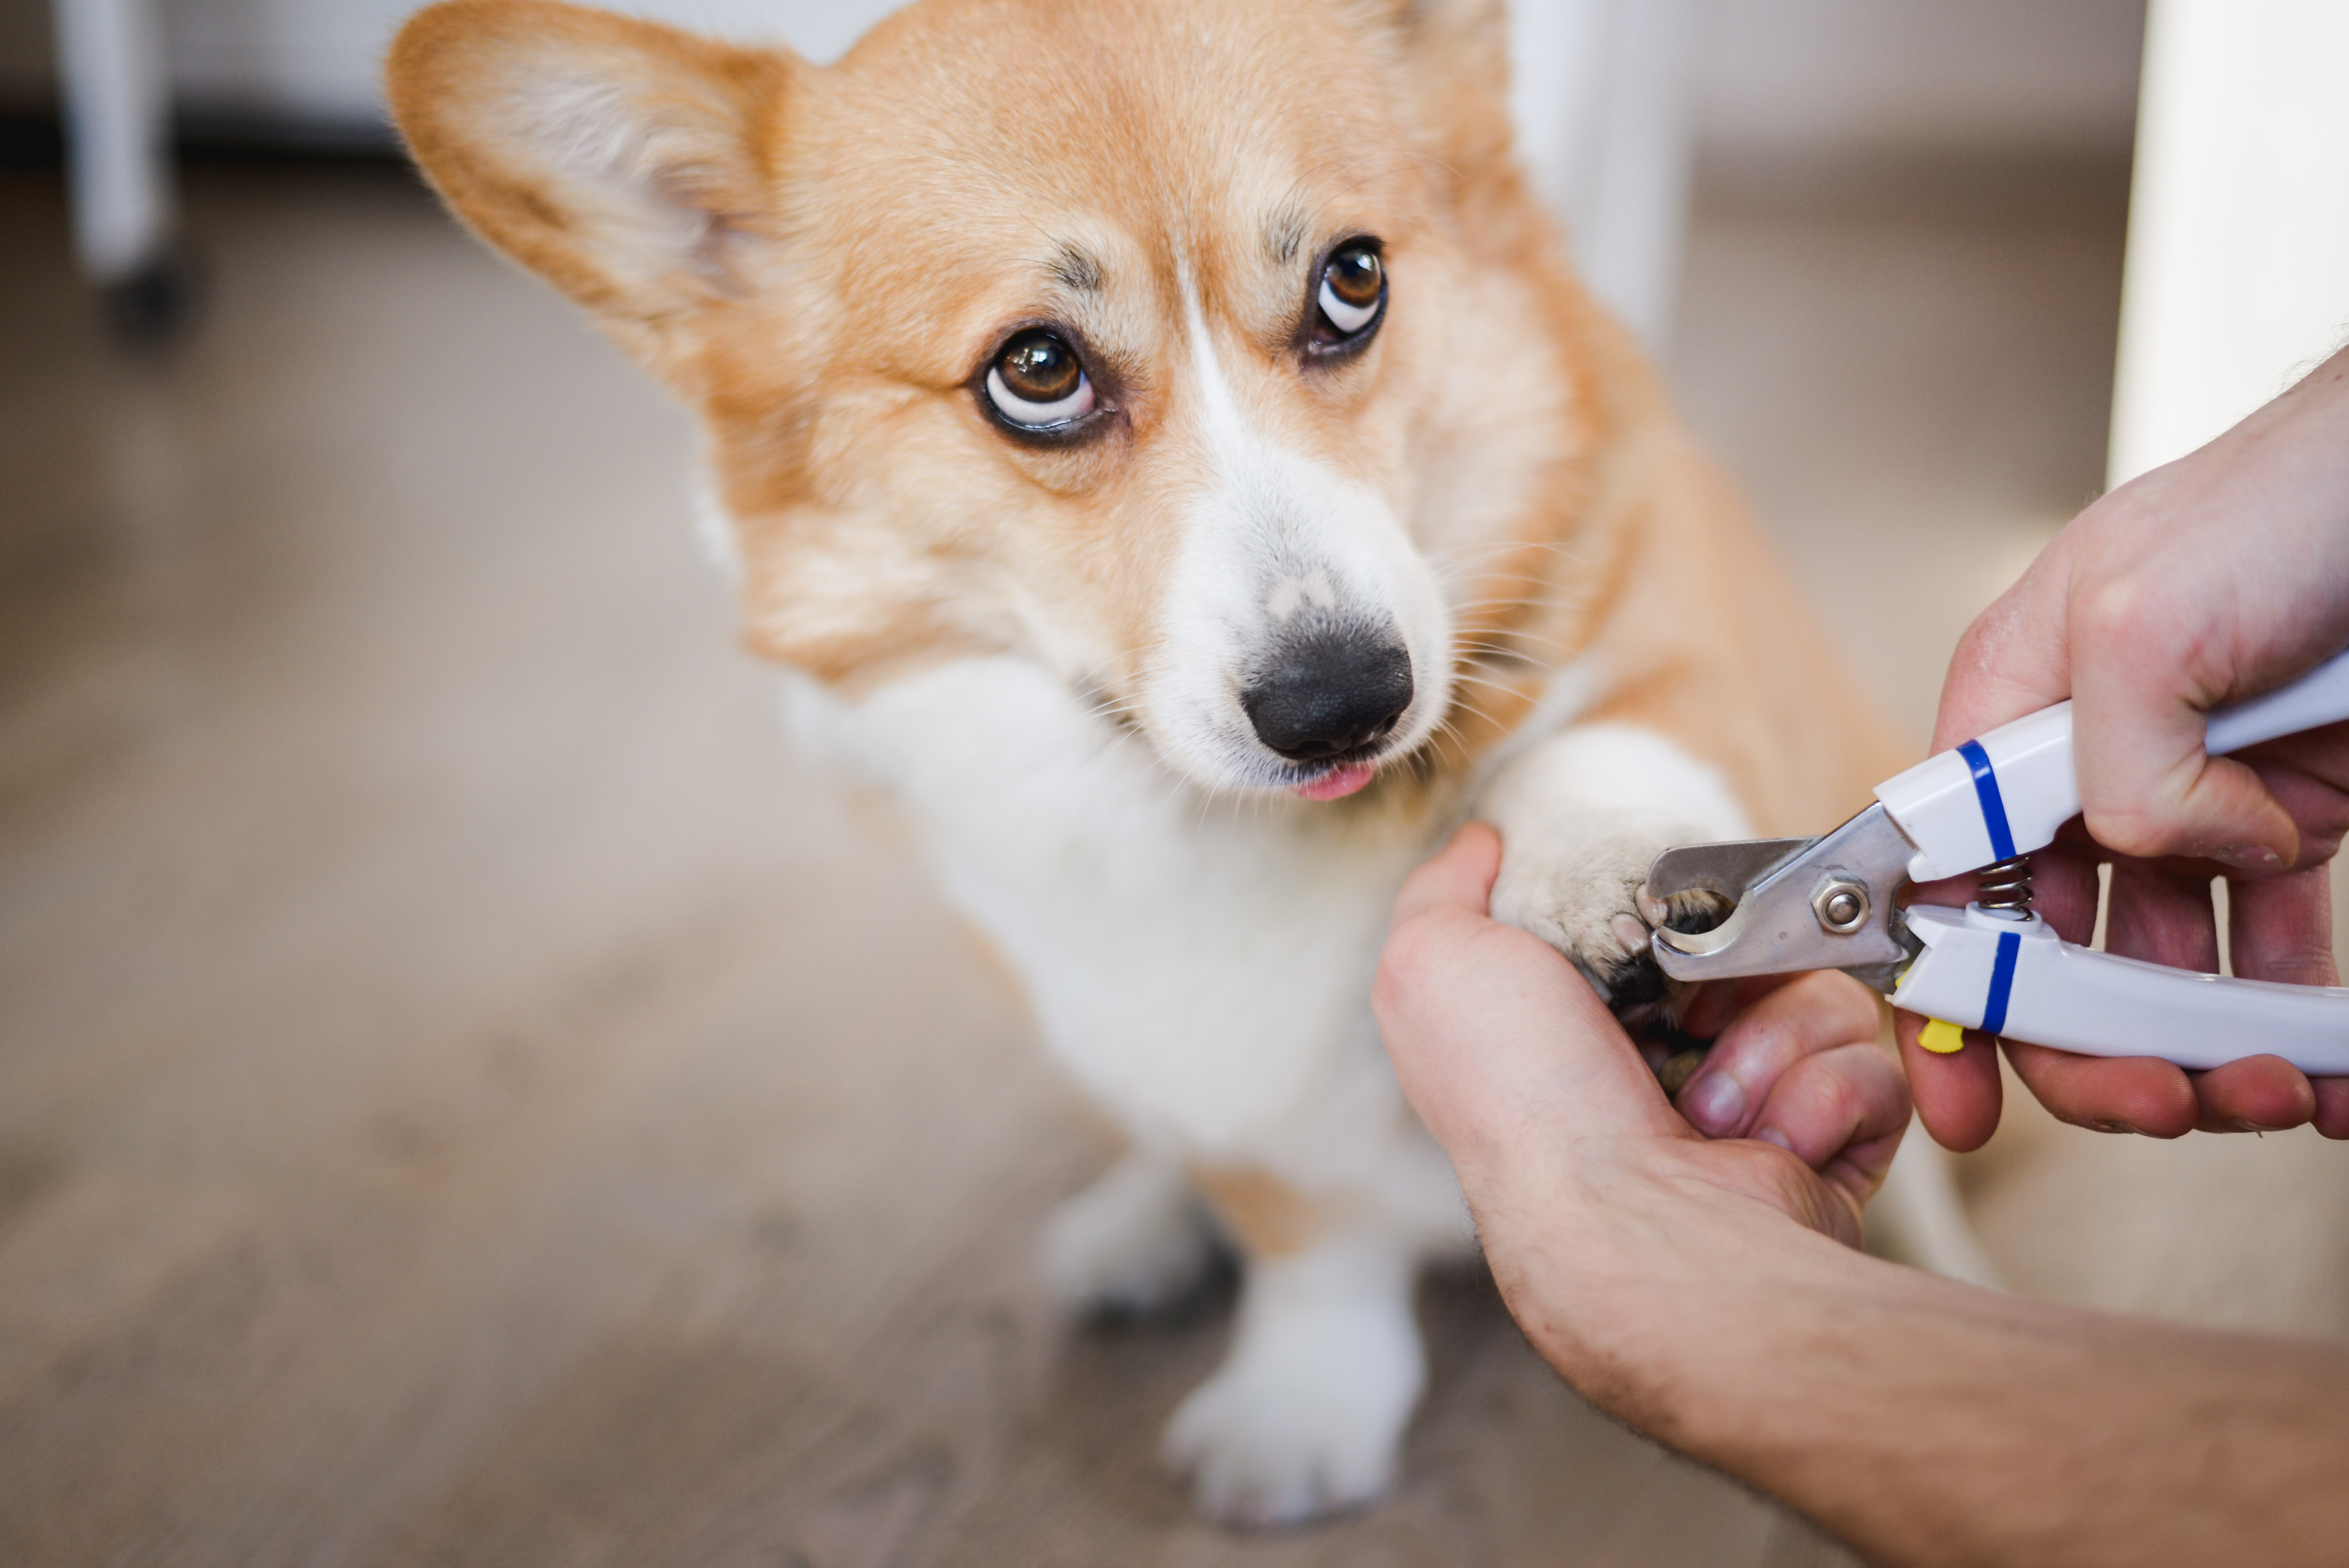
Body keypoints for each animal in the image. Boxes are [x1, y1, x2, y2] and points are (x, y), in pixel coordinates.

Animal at [394, 0, 1973, 1521]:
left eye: (1353, 281)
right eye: (1035, 370)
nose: (1346, 703)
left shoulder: (1687, 636)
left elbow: (1614, 736)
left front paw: (1586, 866)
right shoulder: (1190, 1059)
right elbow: (1306, 1242)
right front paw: (1303, 1403)